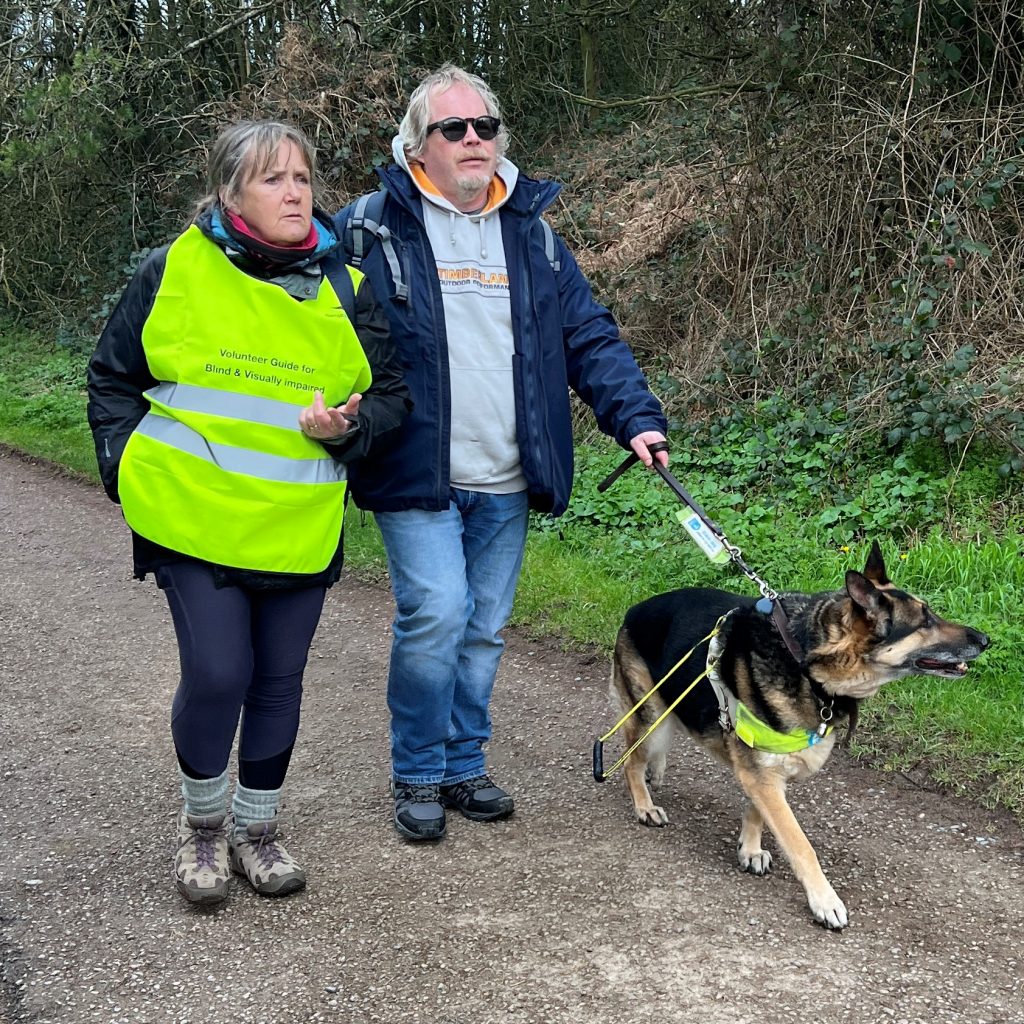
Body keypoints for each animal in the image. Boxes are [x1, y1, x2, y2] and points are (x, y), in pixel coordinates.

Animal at [610, 544, 987, 929]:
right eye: (925, 622)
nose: (985, 640)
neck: (808, 663)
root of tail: (634, 609)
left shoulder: (767, 768)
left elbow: (757, 811)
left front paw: (751, 848)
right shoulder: (761, 774)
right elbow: (800, 843)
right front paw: (825, 901)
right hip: (649, 717)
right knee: (630, 762)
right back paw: (644, 805)